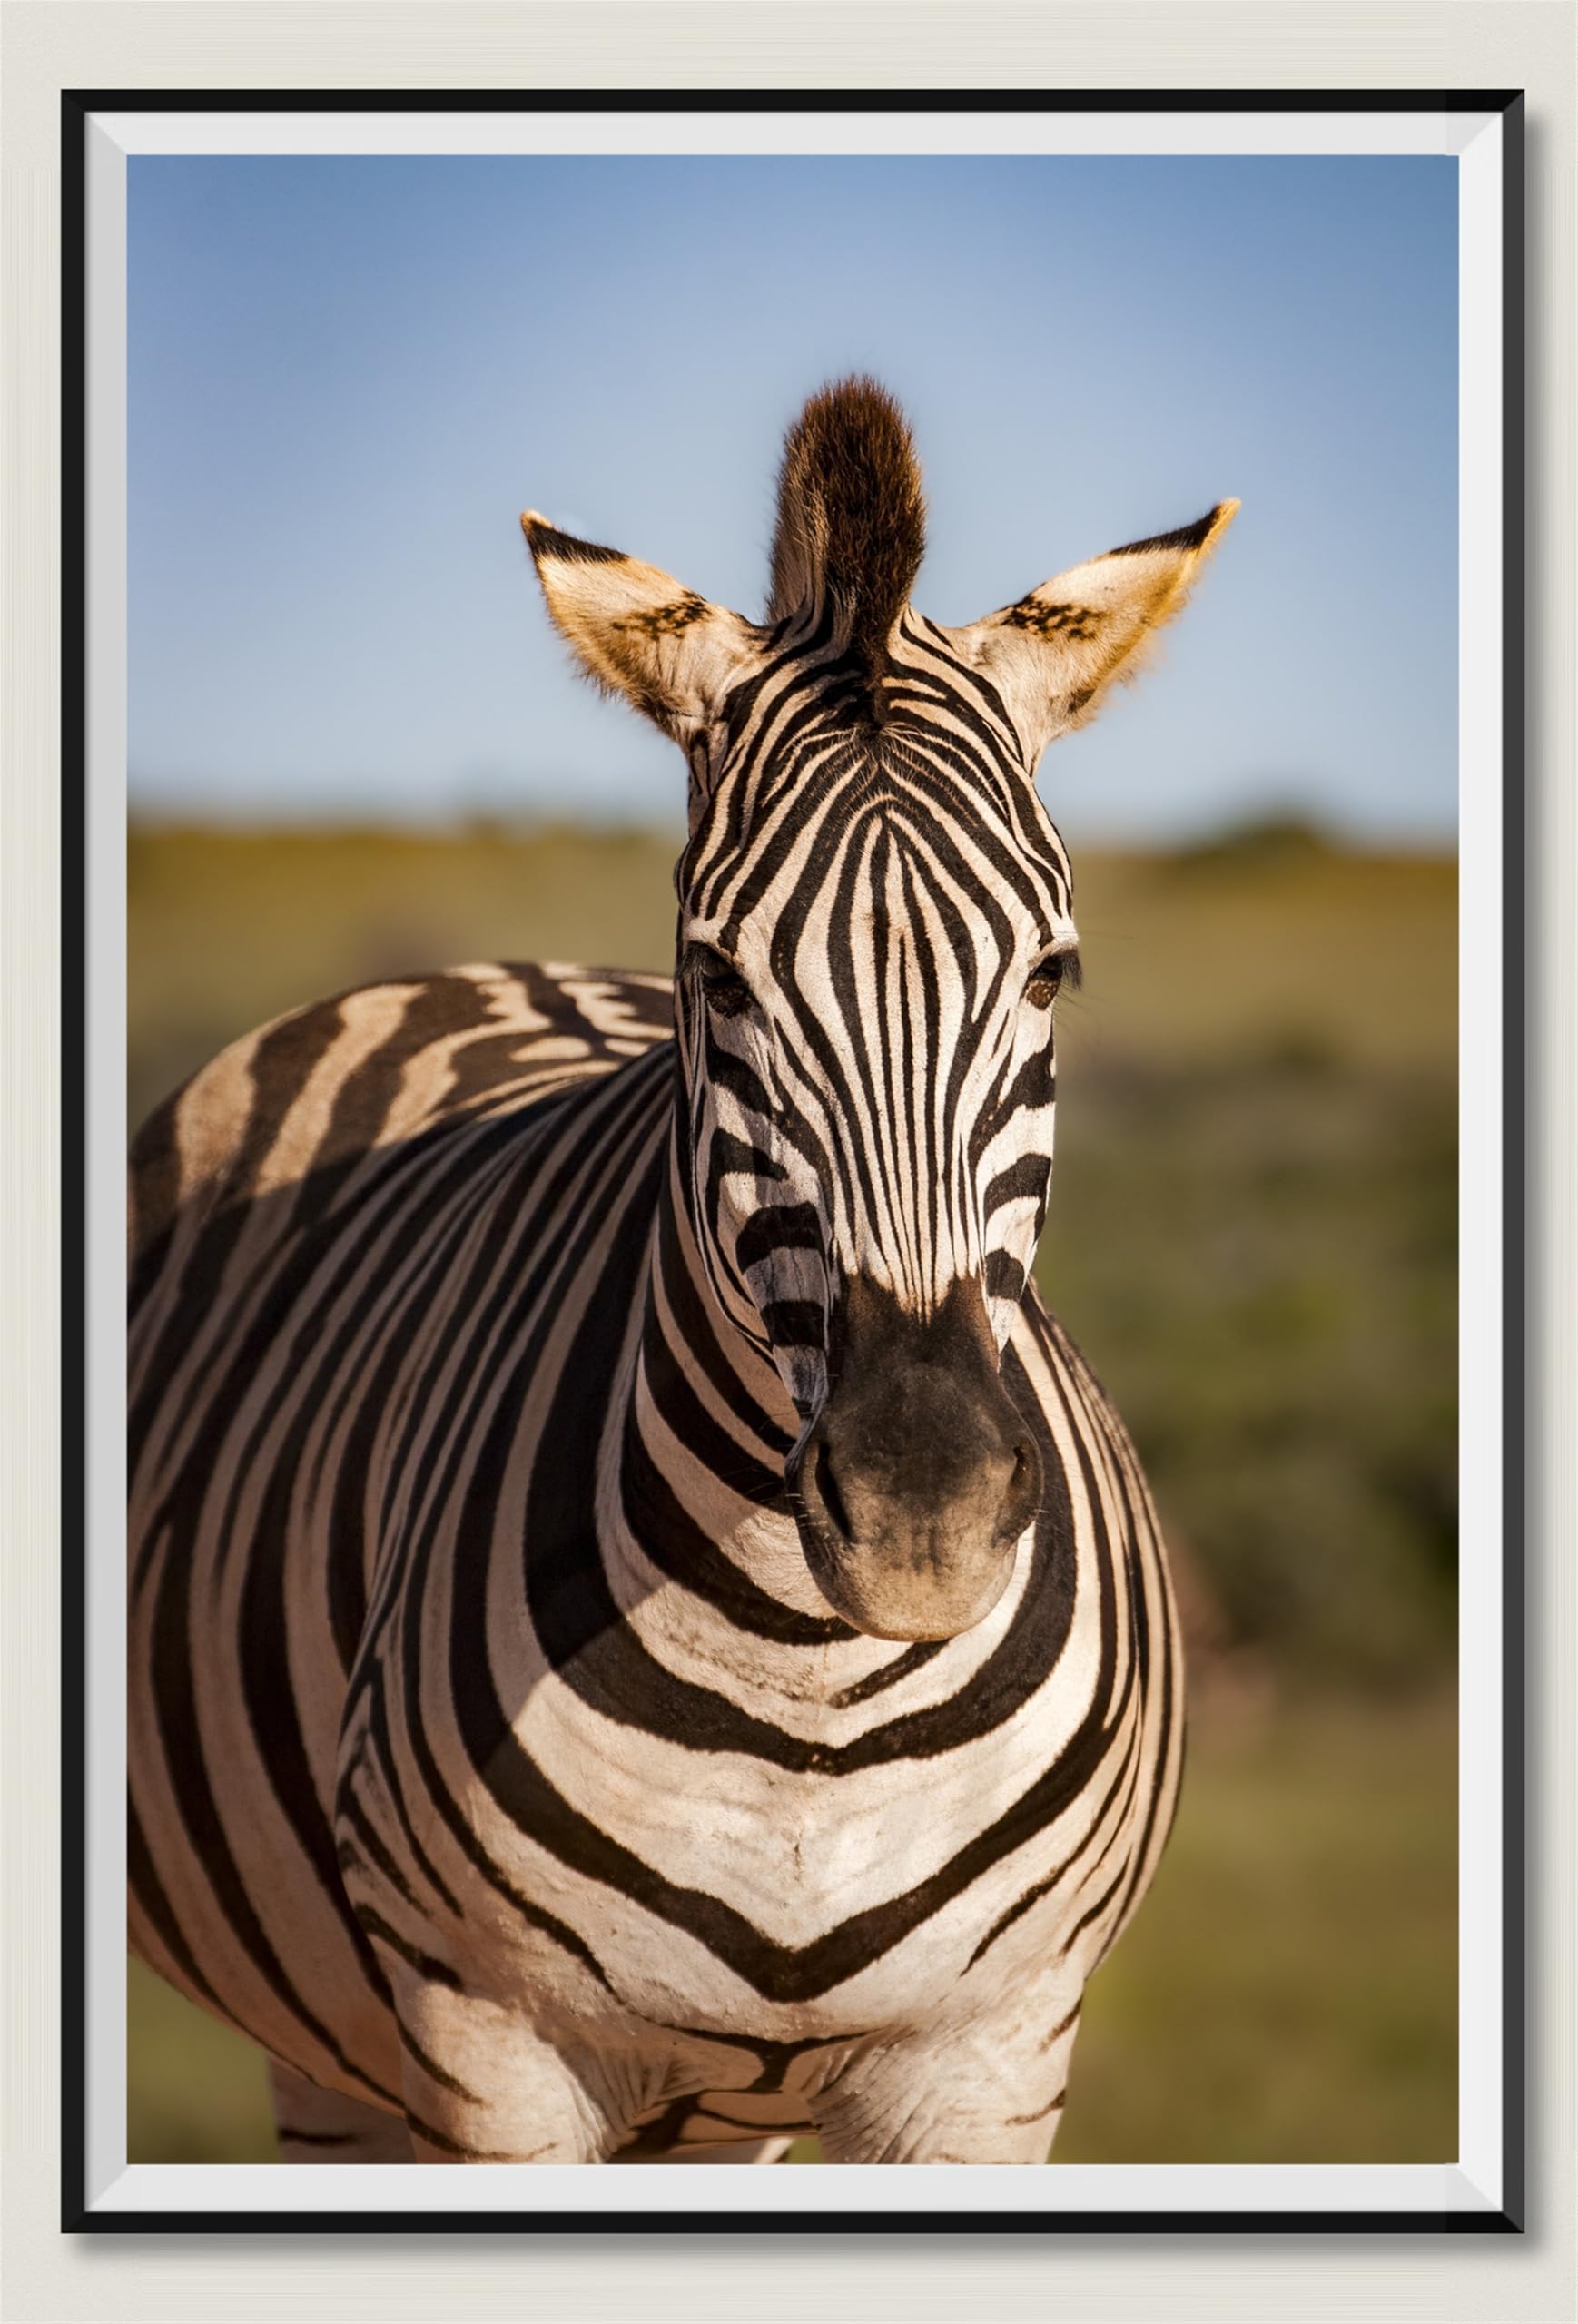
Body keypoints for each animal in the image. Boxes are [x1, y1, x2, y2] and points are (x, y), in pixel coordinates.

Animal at [128, 378, 1235, 2167]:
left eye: (1052, 971)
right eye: (718, 977)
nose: (920, 1516)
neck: (807, 1688)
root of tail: (485, 968)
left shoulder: (991, 2058)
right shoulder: (488, 2048)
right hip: (339, 2052)